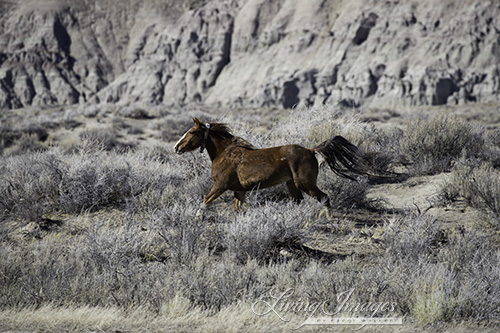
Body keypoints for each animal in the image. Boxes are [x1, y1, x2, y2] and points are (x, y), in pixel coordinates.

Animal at [174, 119, 370, 211]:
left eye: (192, 132)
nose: (177, 147)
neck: (224, 152)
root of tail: (310, 150)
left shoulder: (220, 185)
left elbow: (205, 201)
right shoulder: (239, 190)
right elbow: (240, 208)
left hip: (304, 183)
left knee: (325, 198)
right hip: (292, 184)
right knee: (299, 202)